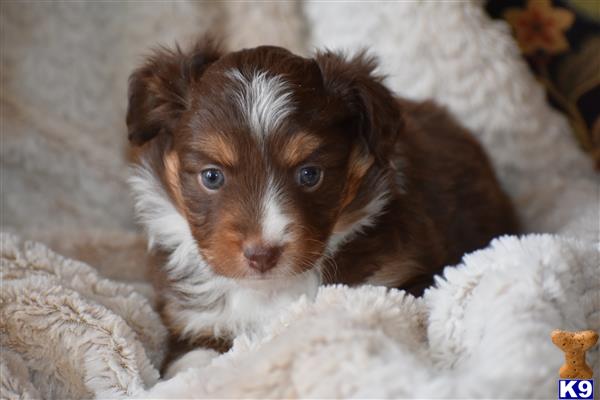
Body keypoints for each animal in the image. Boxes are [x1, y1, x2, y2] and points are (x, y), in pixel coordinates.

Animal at [127, 39, 520, 366]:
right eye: (211, 177)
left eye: (310, 174)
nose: (261, 254)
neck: (273, 291)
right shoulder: (190, 316)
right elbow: (193, 356)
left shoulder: (403, 281)